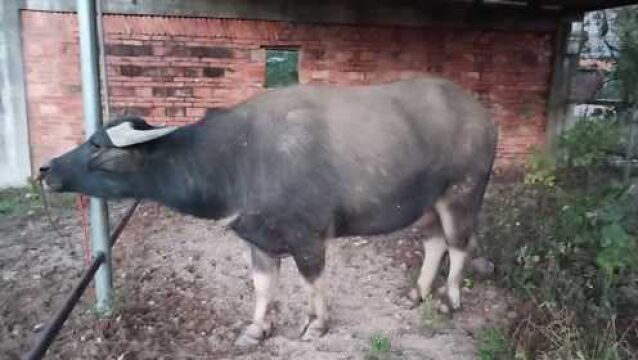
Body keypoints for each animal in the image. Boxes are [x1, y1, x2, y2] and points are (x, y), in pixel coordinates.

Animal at [40, 77, 500, 348]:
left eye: (98, 147)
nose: (46, 169)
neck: (238, 158)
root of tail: (481, 114)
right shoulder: (257, 237)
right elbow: (262, 287)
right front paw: (256, 329)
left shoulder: (307, 236)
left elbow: (313, 282)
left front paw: (316, 324)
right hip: (427, 204)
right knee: (435, 243)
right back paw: (416, 292)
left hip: (463, 192)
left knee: (460, 244)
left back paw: (449, 299)